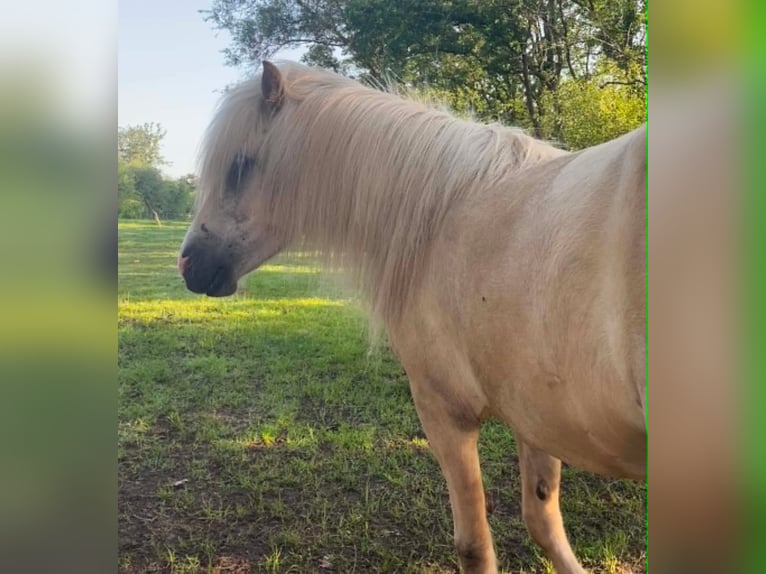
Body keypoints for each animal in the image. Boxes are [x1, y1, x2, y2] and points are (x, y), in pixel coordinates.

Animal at [178, 61, 646, 574]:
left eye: (240, 166)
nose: (188, 264)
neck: (446, 213)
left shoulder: (444, 412)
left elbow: (475, 545)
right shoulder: (536, 414)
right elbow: (543, 519)